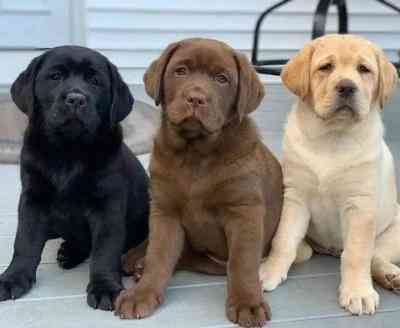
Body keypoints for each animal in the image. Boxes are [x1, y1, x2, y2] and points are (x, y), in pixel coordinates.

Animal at [0, 45, 149, 310]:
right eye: (55, 76)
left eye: (95, 81)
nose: (76, 99)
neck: (69, 149)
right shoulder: (32, 200)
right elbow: (25, 240)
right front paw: (14, 278)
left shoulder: (108, 206)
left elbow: (105, 249)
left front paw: (104, 287)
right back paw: (68, 252)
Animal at [260, 33, 398, 316]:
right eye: (325, 67)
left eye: (364, 70)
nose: (346, 87)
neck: (331, 137)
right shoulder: (295, 197)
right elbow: (283, 239)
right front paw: (270, 271)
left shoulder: (360, 204)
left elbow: (357, 253)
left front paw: (358, 292)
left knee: (375, 256)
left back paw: (391, 276)